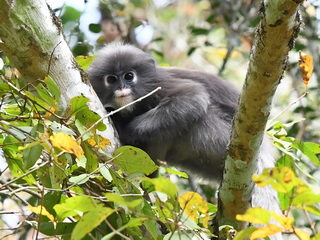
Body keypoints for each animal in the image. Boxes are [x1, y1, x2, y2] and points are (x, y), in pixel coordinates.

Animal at [86, 43, 282, 240]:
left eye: (129, 76)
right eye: (111, 79)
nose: (121, 87)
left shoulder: (161, 85)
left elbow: (193, 97)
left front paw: (125, 129)